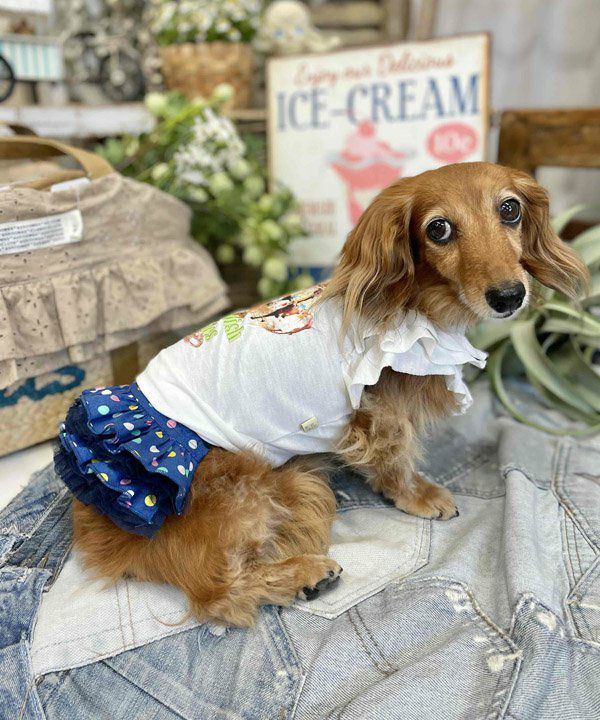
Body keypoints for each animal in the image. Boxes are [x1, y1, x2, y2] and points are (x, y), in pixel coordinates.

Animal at [64, 162, 587, 627]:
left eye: (510, 209)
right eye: (438, 229)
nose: (509, 296)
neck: (415, 305)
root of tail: (98, 528)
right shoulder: (380, 415)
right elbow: (396, 461)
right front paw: (419, 495)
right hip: (245, 481)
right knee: (219, 594)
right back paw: (303, 575)